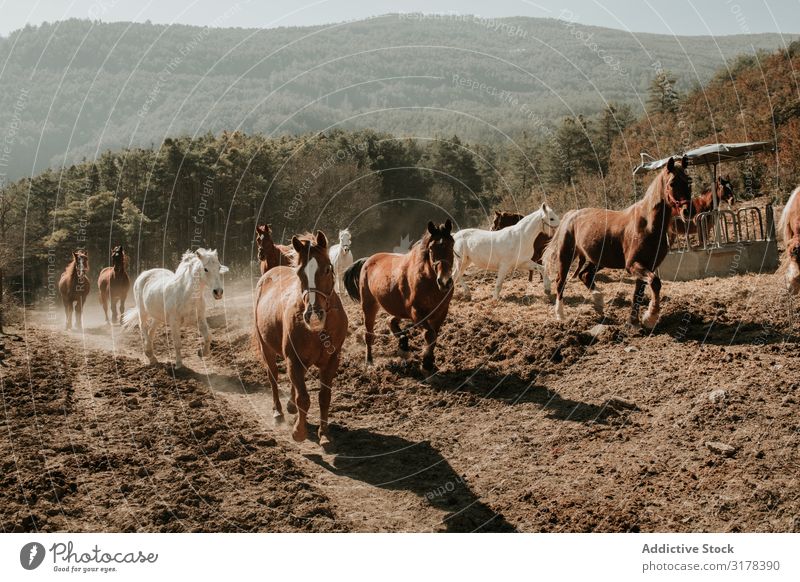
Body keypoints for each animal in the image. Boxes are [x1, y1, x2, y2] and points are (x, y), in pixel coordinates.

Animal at [253, 230, 346, 444]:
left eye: (327, 269)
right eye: (299, 273)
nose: (313, 314)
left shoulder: (331, 360)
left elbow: (324, 397)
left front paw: (324, 433)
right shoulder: (293, 359)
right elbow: (303, 398)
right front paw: (299, 431)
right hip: (266, 348)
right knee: (273, 377)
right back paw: (278, 412)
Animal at [346, 219, 456, 374]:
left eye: (451, 244)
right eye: (431, 248)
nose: (445, 281)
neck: (429, 281)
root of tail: (368, 260)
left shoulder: (441, 312)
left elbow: (434, 335)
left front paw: (429, 362)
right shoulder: (417, 312)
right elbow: (430, 334)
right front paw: (426, 364)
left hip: (399, 309)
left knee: (390, 320)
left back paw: (403, 343)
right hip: (369, 305)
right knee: (369, 334)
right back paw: (369, 361)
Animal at [548, 157, 692, 330]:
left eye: (689, 181)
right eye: (672, 183)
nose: (687, 211)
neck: (648, 225)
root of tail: (572, 214)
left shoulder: (647, 265)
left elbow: (639, 292)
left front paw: (633, 322)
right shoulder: (633, 265)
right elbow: (655, 283)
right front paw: (650, 318)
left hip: (598, 260)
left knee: (585, 275)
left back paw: (599, 303)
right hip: (566, 256)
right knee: (560, 282)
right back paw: (560, 315)